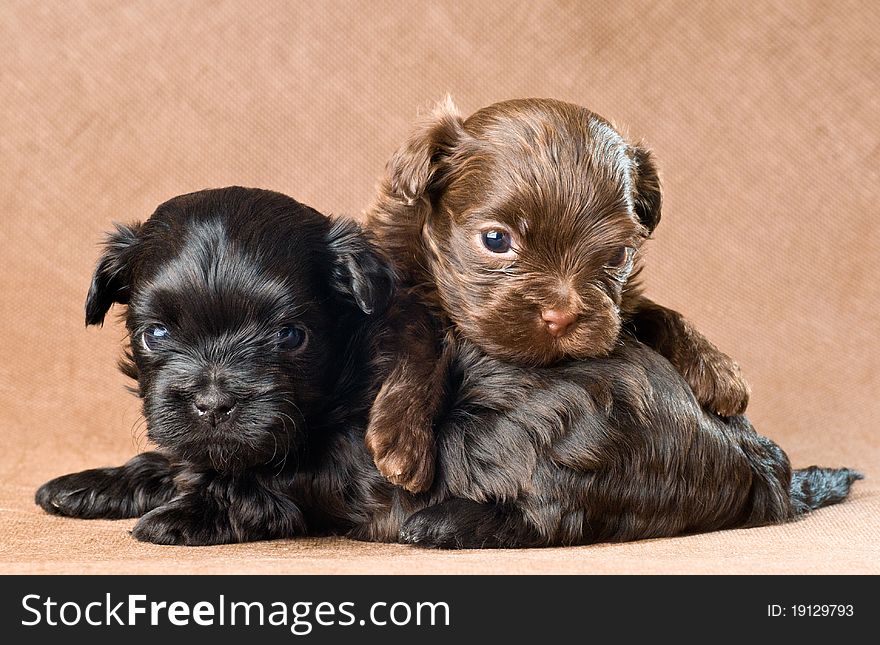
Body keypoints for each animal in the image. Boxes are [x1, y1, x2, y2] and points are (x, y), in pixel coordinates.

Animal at [37, 184, 864, 544]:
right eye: (154, 334)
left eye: (290, 337)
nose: (212, 401)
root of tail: (764, 467)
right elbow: (180, 456)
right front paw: (92, 483)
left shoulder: (346, 456)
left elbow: (259, 481)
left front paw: (182, 514)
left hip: (555, 413)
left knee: (560, 514)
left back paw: (447, 521)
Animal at [364, 95, 748, 490]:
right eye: (495, 240)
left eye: (618, 254)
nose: (561, 318)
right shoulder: (399, 286)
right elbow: (421, 336)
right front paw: (405, 433)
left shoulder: (623, 305)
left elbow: (656, 311)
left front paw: (715, 366)